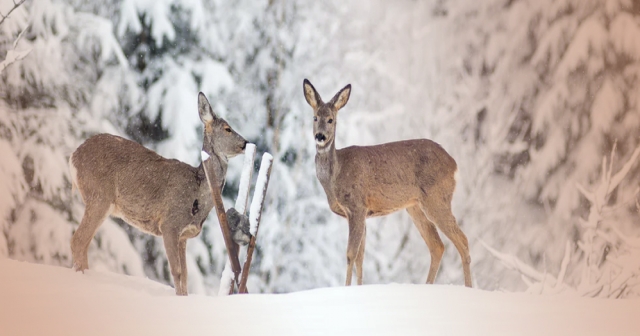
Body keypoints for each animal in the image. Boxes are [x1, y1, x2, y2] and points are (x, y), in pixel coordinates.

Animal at [69, 93, 250, 296]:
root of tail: (73, 157)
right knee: (78, 240)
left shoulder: (183, 236)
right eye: (228, 128)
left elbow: (185, 275)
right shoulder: (170, 224)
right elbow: (176, 271)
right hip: (99, 195)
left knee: (83, 243)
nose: (245, 143)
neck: (198, 191)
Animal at [302, 79, 472, 286]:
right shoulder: (361, 213)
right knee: (437, 245)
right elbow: (361, 256)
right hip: (414, 206)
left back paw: (469, 287)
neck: (336, 176)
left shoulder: (357, 206)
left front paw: (346, 288)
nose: (320, 136)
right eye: (315, 118)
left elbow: (351, 254)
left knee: (462, 240)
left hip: (437, 198)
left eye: (331, 120)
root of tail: (454, 164)